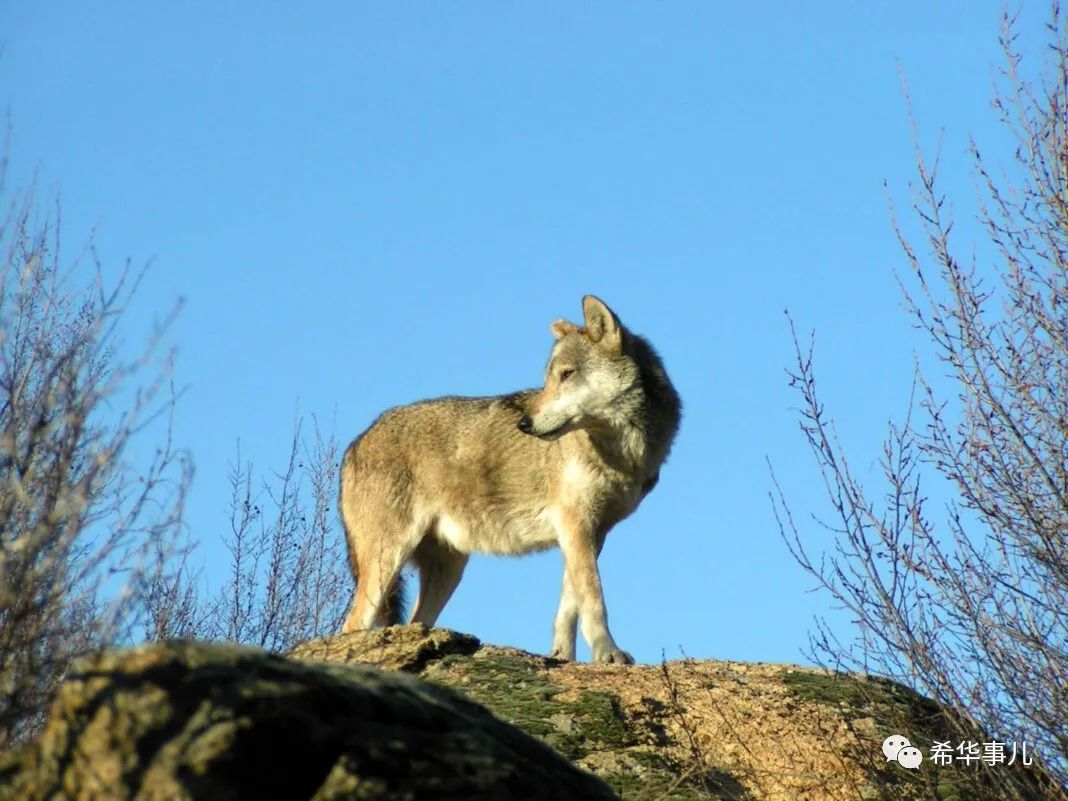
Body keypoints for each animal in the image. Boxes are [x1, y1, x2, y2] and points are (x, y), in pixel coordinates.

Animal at [337, 296, 679, 666]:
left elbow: (569, 606)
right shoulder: (575, 524)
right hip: (388, 561)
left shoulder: (590, 532)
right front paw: (608, 652)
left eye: (567, 375)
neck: (622, 453)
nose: (524, 424)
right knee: (352, 625)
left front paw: (561, 656)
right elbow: (593, 598)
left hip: (448, 570)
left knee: (412, 622)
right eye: (548, 380)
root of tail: (354, 443)